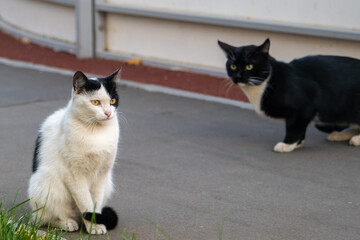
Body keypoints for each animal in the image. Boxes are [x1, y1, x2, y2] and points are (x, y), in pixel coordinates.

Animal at [28, 68, 121, 233]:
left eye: (112, 101)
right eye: (95, 102)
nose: (108, 113)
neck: (96, 132)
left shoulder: (102, 174)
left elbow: (94, 205)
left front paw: (95, 223)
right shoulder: (73, 174)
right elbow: (85, 202)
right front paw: (93, 228)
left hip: (108, 183)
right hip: (45, 183)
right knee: (44, 219)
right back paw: (67, 223)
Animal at [218, 38, 360, 153]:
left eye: (249, 66)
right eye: (233, 66)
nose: (237, 77)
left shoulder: (306, 103)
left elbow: (294, 126)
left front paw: (288, 144)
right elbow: (300, 127)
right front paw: (297, 143)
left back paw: (355, 139)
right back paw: (339, 134)